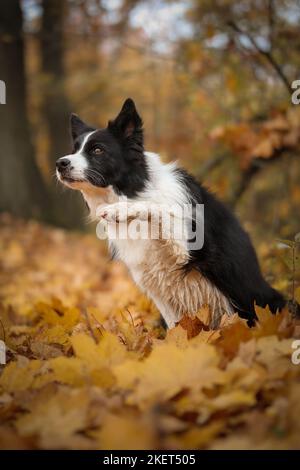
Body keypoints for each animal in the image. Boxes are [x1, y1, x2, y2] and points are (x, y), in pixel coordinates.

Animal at [56, 98, 286, 328]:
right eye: (75, 149)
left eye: (97, 150)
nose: (60, 163)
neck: (136, 189)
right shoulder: (155, 286)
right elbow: (175, 326)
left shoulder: (187, 247)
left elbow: (158, 208)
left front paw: (120, 210)